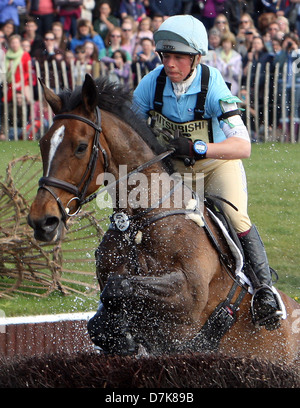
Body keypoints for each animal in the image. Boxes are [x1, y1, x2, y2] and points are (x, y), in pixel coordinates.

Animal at [28, 74, 300, 364]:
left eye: (80, 147)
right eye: (43, 144)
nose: (42, 221)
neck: (137, 222)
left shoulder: (189, 296)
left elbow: (119, 286)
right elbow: (106, 309)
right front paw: (120, 335)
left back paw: (267, 302)